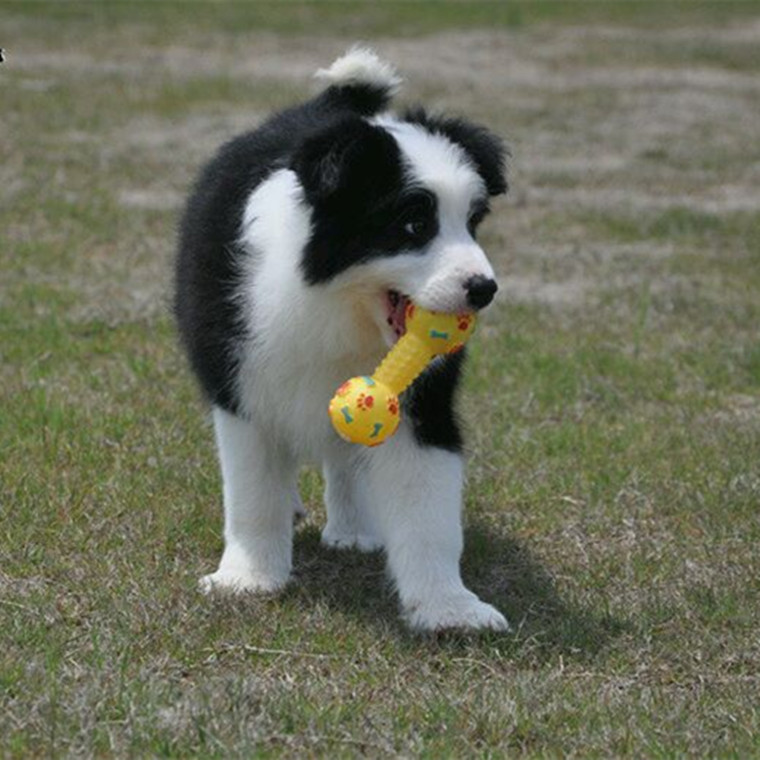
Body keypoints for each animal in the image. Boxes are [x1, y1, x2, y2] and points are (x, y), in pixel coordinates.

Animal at [177, 44, 510, 632]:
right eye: (413, 223)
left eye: (472, 222)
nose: (483, 289)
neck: (336, 309)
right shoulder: (241, 386)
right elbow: (253, 491)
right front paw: (248, 580)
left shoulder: (423, 404)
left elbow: (429, 510)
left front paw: (449, 608)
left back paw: (353, 531)